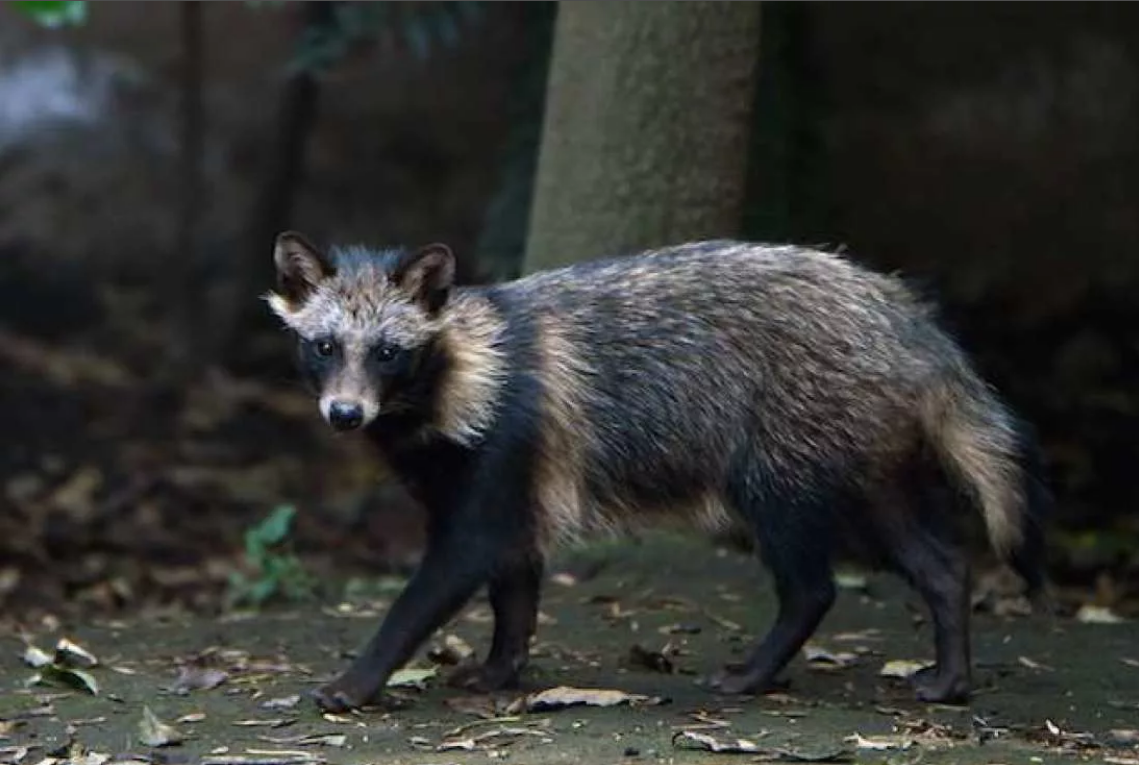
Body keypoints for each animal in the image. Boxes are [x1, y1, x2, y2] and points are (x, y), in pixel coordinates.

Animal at [266, 231, 1047, 710]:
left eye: (388, 352)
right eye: (325, 345)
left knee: (811, 582)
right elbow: (515, 582)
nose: (345, 414)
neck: (456, 371)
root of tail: (902, 316)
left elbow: (442, 578)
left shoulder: (503, 452)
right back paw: (951, 666)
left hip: (783, 451)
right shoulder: (504, 480)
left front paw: (360, 676)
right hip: (865, 459)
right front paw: (501, 665)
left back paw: (759, 667)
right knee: (938, 560)